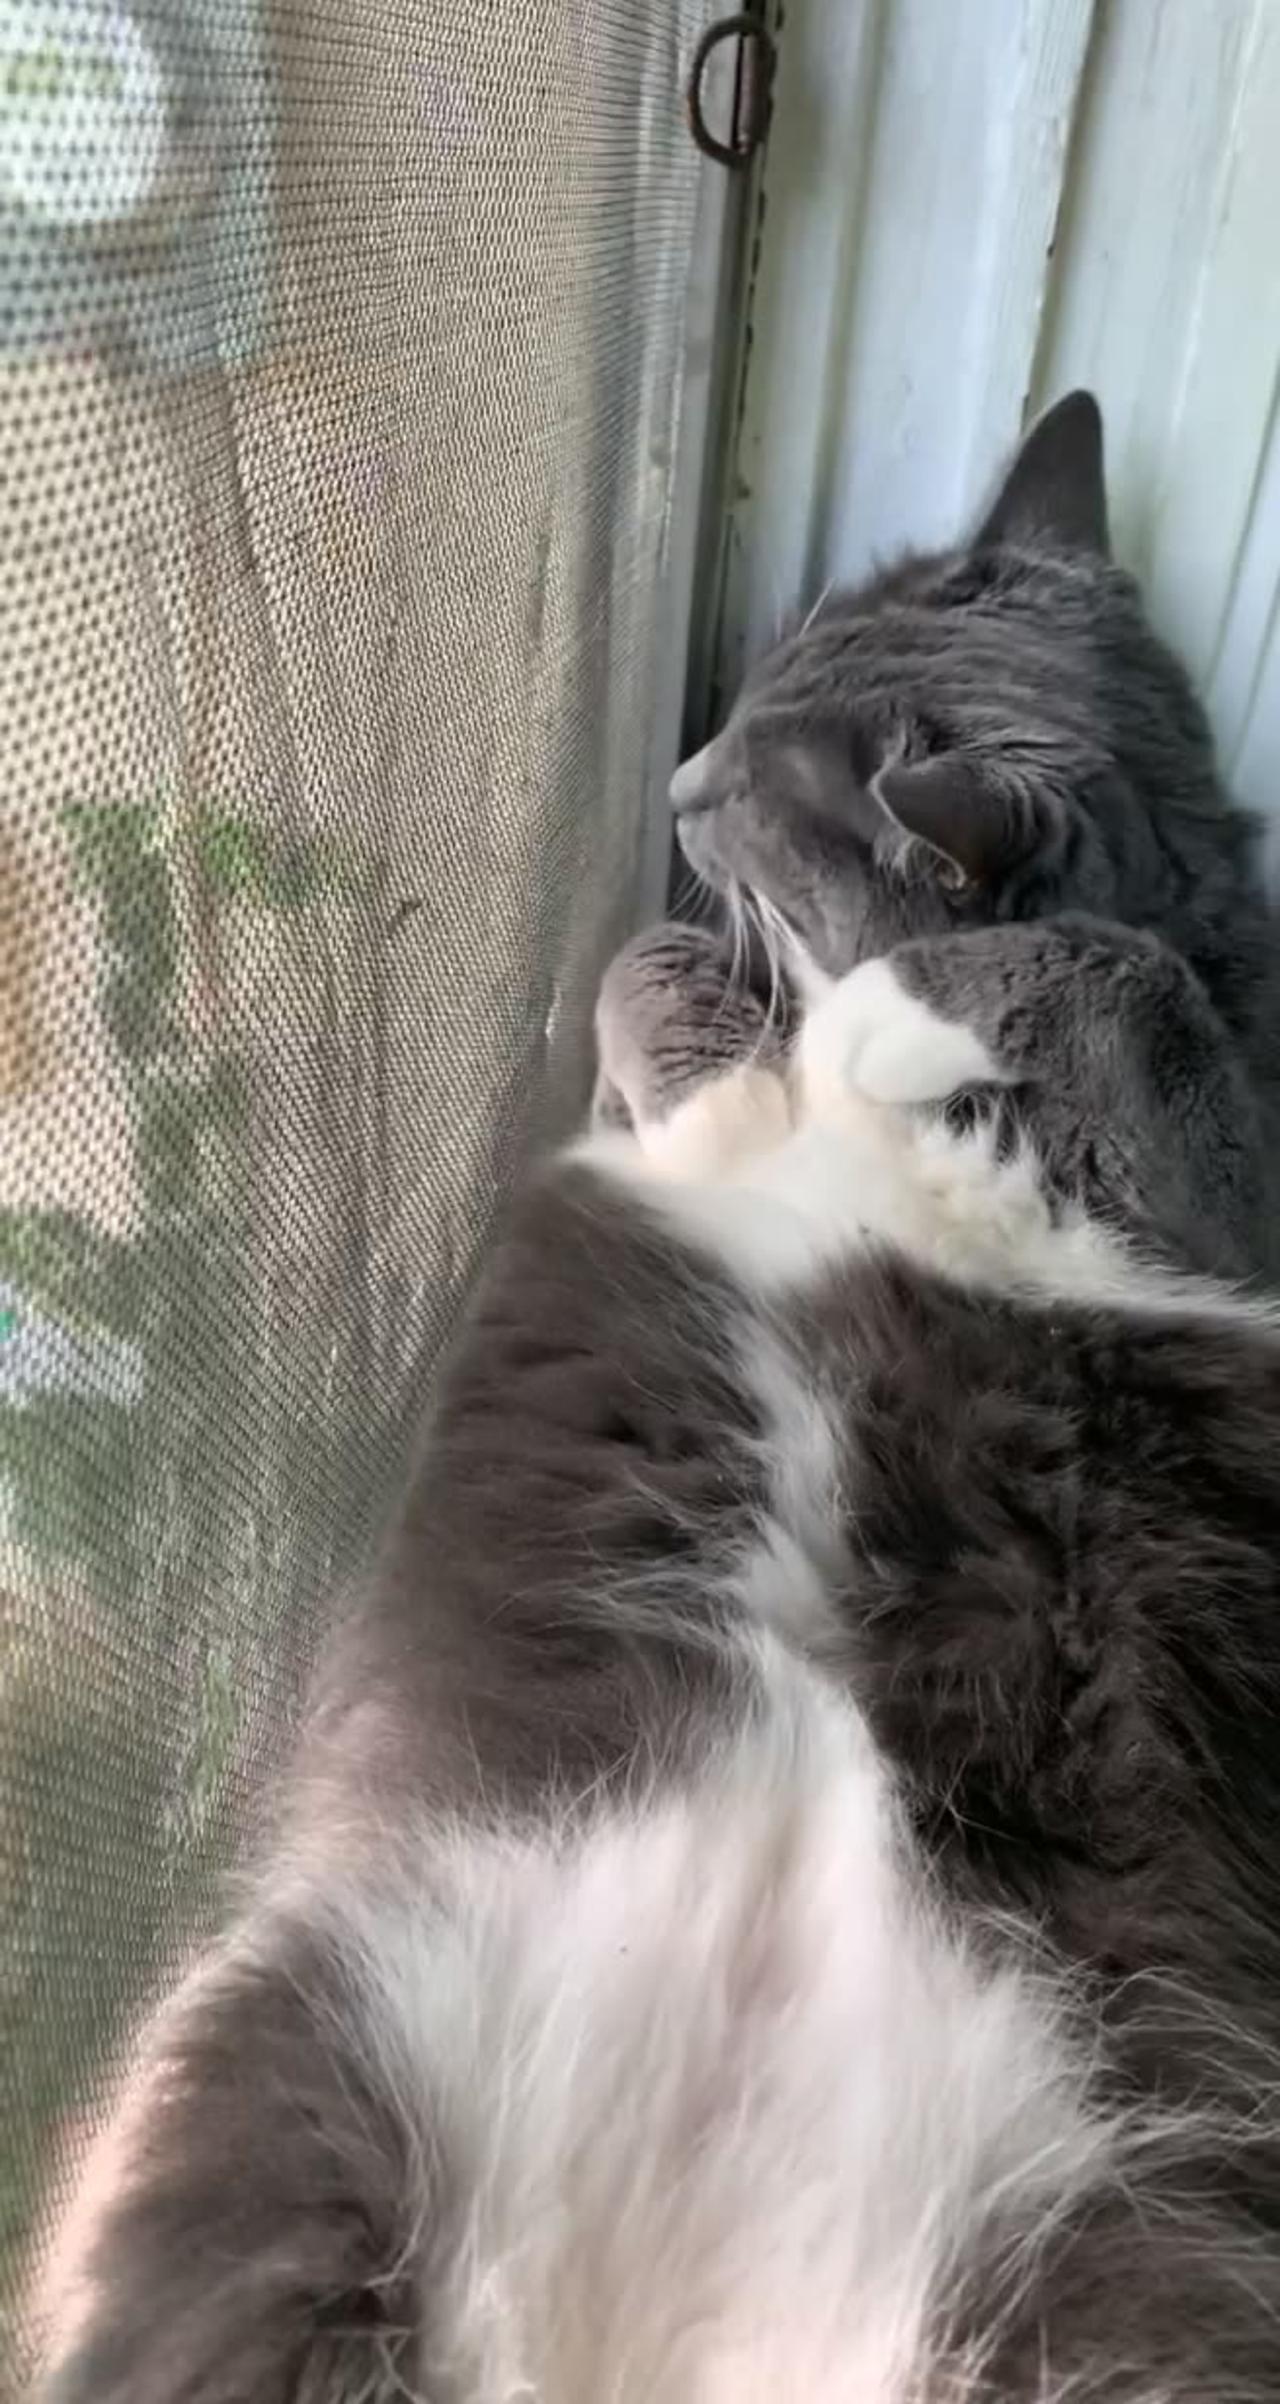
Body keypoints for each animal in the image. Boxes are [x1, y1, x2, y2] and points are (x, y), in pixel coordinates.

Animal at [37, 913, 1280, 2404]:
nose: (689, 930)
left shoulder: (1205, 1211)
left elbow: (1118, 961)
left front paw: (869, 1011)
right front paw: (827, 1024)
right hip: (300, 2117)